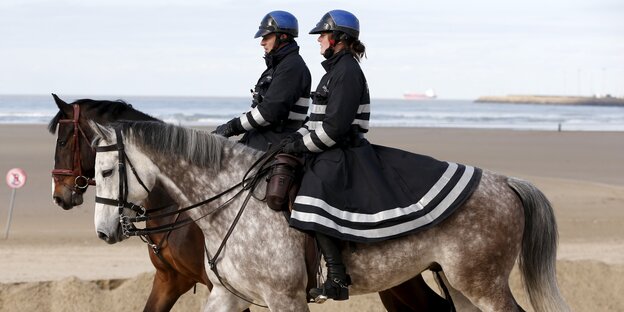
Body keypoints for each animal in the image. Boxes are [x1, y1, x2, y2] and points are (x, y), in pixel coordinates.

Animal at [89, 120, 572, 310]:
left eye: (107, 171)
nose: (105, 232)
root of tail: (504, 181)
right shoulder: (228, 294)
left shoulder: (286, 299)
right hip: (461, 285)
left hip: (482, 286)